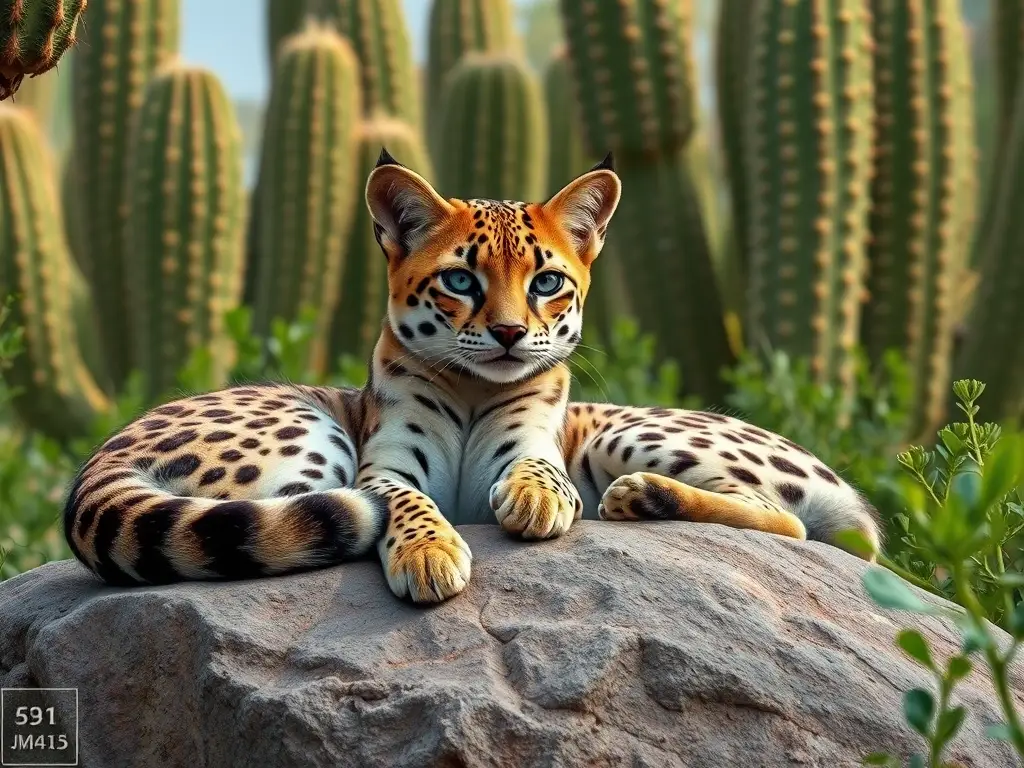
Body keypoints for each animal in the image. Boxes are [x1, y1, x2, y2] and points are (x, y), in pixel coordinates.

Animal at [62, 149, 882, 604]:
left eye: (548, 282)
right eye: (460, 280)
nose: (512, 332)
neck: (470, 388)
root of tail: (101, 458)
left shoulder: (538, 448)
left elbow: (538, 475)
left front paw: (535, 505)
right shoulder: (383, 467)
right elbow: (406, 503)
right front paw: (429, 554)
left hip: (627, 433)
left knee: (790, 523)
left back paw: (639, 497)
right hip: (308, 439)